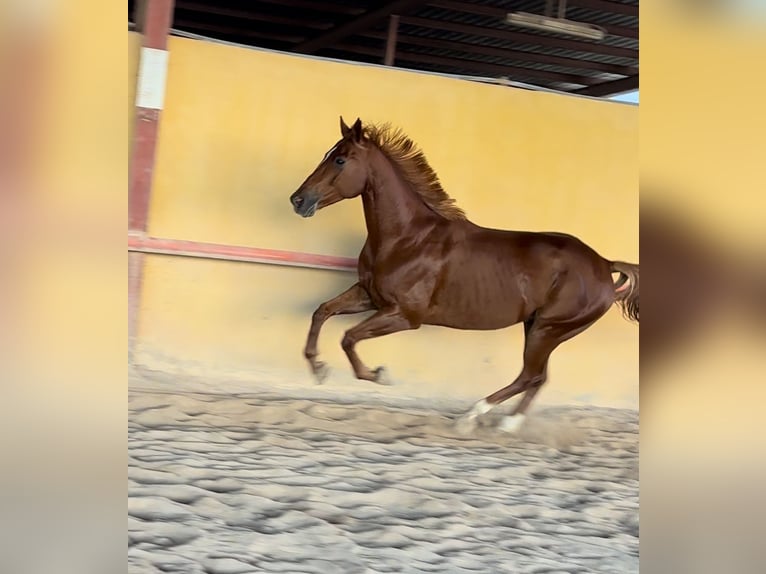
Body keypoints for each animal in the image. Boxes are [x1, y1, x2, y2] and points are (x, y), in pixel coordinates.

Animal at [292, 118, 640, 436]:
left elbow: (349, 337)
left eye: (340, 159)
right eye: (327, 153)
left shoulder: (404, 315)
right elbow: (322, 311)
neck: (408, 238)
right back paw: (508, 423)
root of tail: (604, 264)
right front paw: (318, 368)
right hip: (539, 326)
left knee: (529, 375)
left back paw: (472, 417)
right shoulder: (369, 295)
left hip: (550, 328)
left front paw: (379, 375)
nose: (298, 200)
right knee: (538, 376)